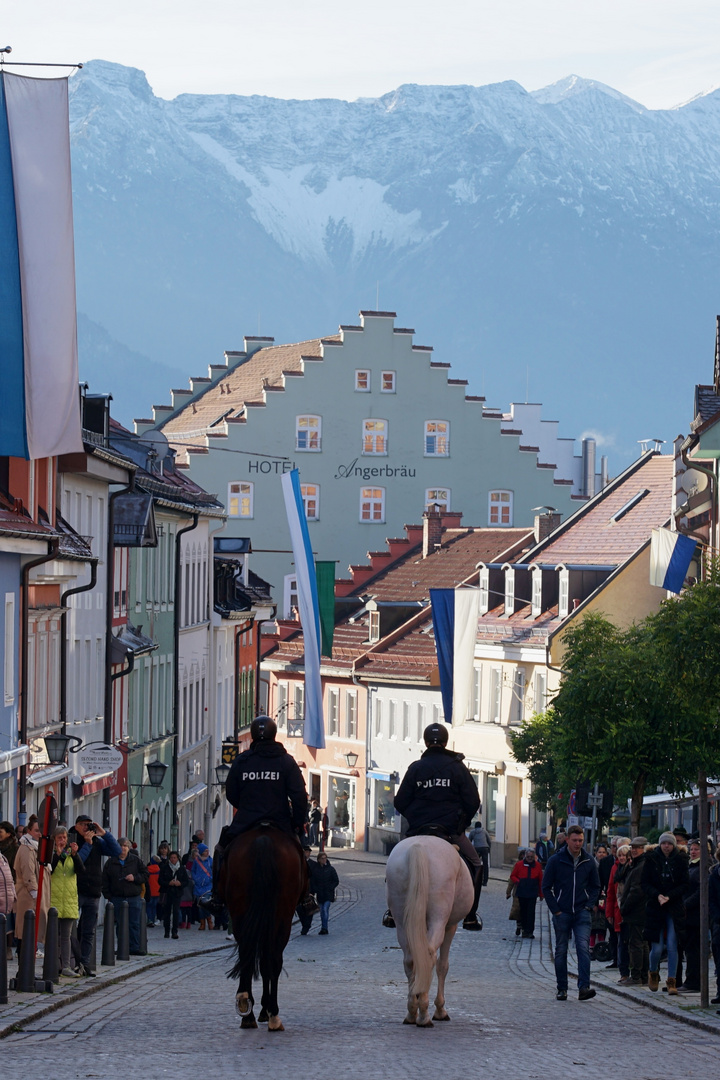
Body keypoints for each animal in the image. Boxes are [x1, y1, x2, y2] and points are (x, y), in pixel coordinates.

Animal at [222, 825, 306, 1028]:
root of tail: (263, 839)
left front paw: (259, 1008)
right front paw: (265, 1009)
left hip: (242, 913)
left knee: (248, 953)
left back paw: (248, 1008)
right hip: (282, 917)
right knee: (270, 958)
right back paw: (271, 1014)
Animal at [386, 833, 474, 1028]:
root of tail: (419, 847)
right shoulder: (450, 926)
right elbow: (443, 965)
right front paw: (440, 1010)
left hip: (402, 921)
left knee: (410, 959)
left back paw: (412, 1011)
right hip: (439, 918)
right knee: (430, 955)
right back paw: (424, 1015)